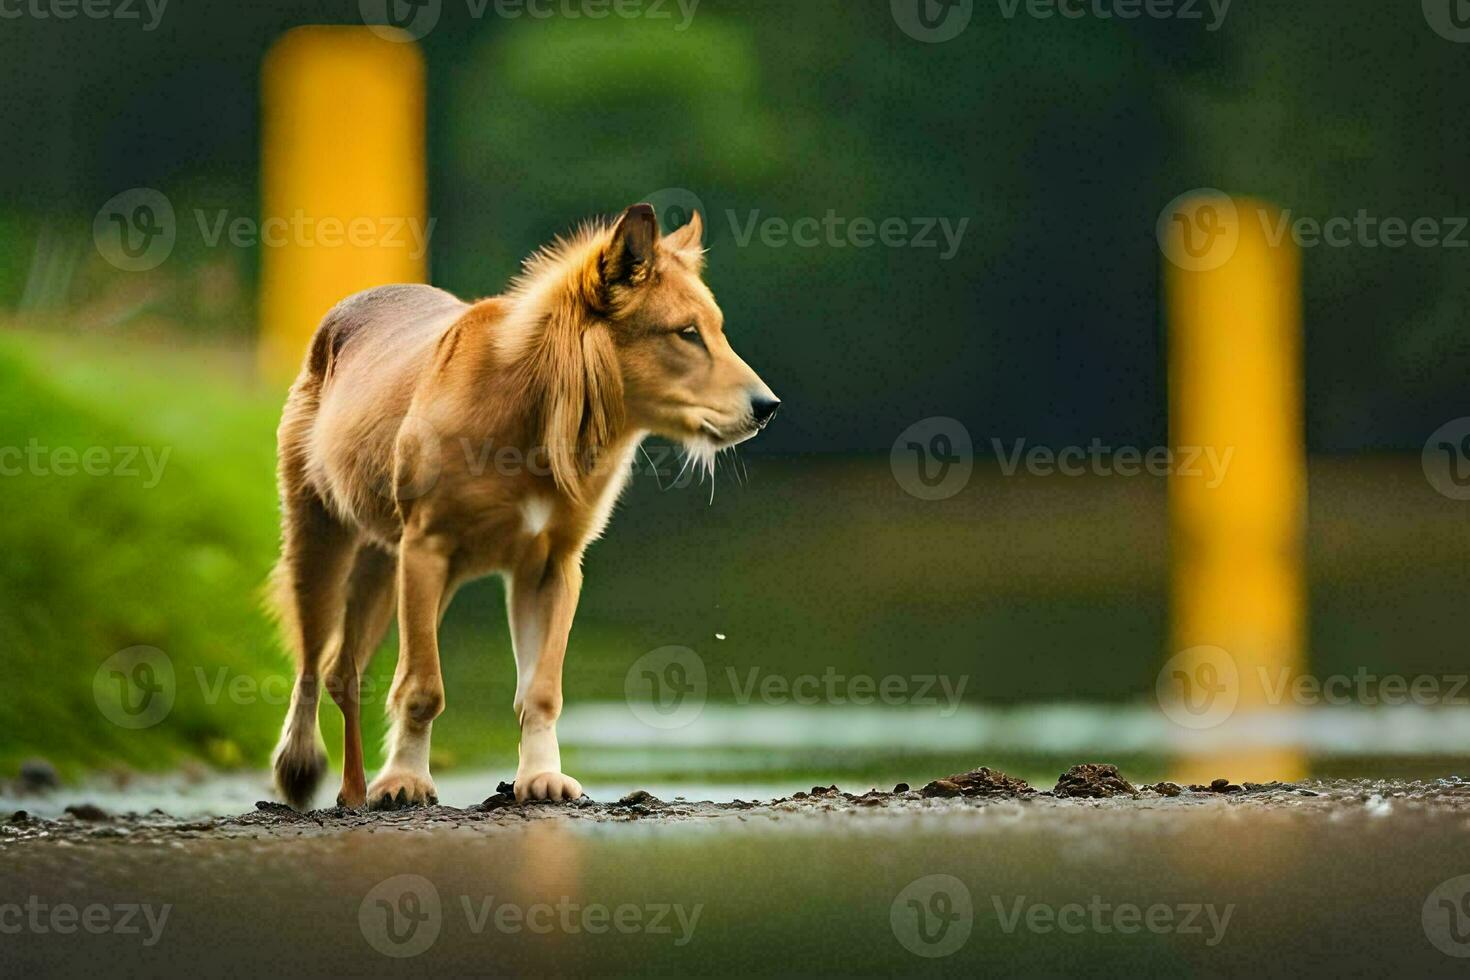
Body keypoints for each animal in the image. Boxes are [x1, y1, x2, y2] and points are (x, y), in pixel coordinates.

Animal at [271, 202, 787, 811]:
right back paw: (303, 766)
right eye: (686, 333)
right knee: (314, 664)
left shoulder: (549, 566)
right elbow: (422, 686)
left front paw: (541, 777)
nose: (768, 407)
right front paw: (405, 781)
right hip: (323, 542)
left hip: (385, 566)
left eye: (717, 331)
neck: (534, 413)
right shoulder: (427, 547)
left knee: (344, 669)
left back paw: (353, 789)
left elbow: (540, 690)